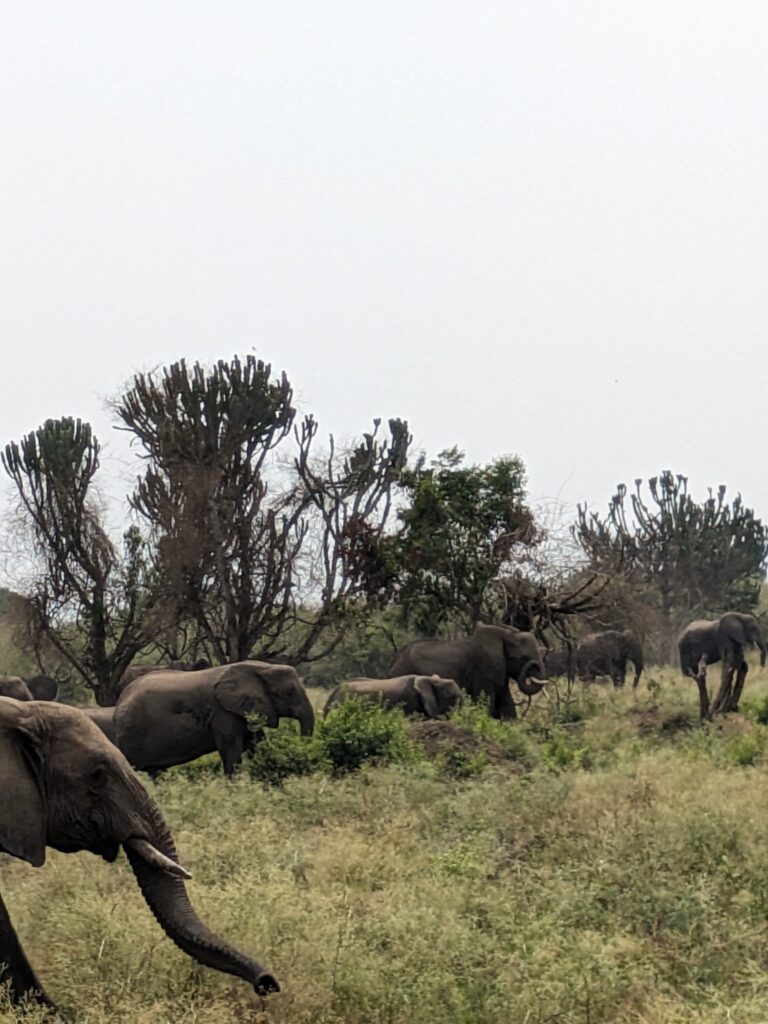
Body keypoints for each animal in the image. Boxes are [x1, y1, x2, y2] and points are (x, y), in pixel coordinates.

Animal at [112, 659, 315, 770]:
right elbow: (231, 749)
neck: (262, 667)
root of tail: (120, 700)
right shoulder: (222, 712)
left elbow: (257, 743)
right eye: (289, 692)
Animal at [391, 618, 548, 716]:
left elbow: (506, 704)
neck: (505, 634)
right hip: (403, 670)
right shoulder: (482, 670)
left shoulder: (499, 669)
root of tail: (395, 658)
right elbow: (484, 702)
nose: (534, 665)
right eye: (523, 659)